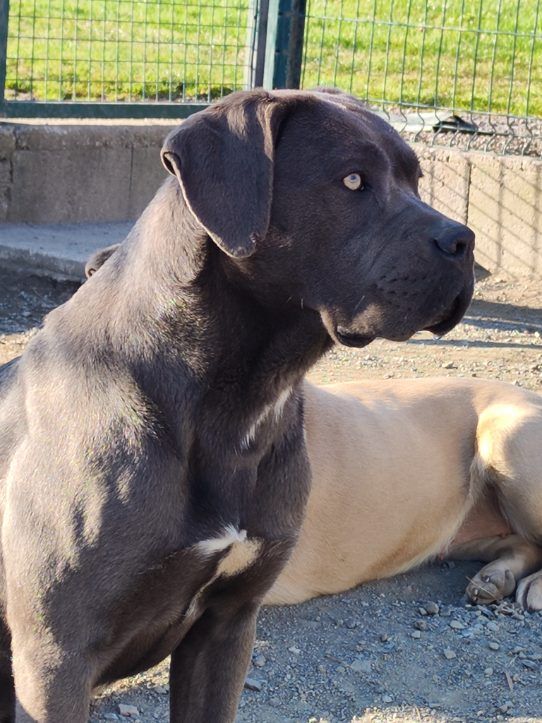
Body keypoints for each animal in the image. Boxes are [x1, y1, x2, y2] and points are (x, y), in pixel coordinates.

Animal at [0, 88, 474, 722]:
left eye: (416, 179)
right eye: (352, 180)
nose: (464, 242)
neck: (236, 406)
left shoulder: (227, 625)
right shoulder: (56, 658)